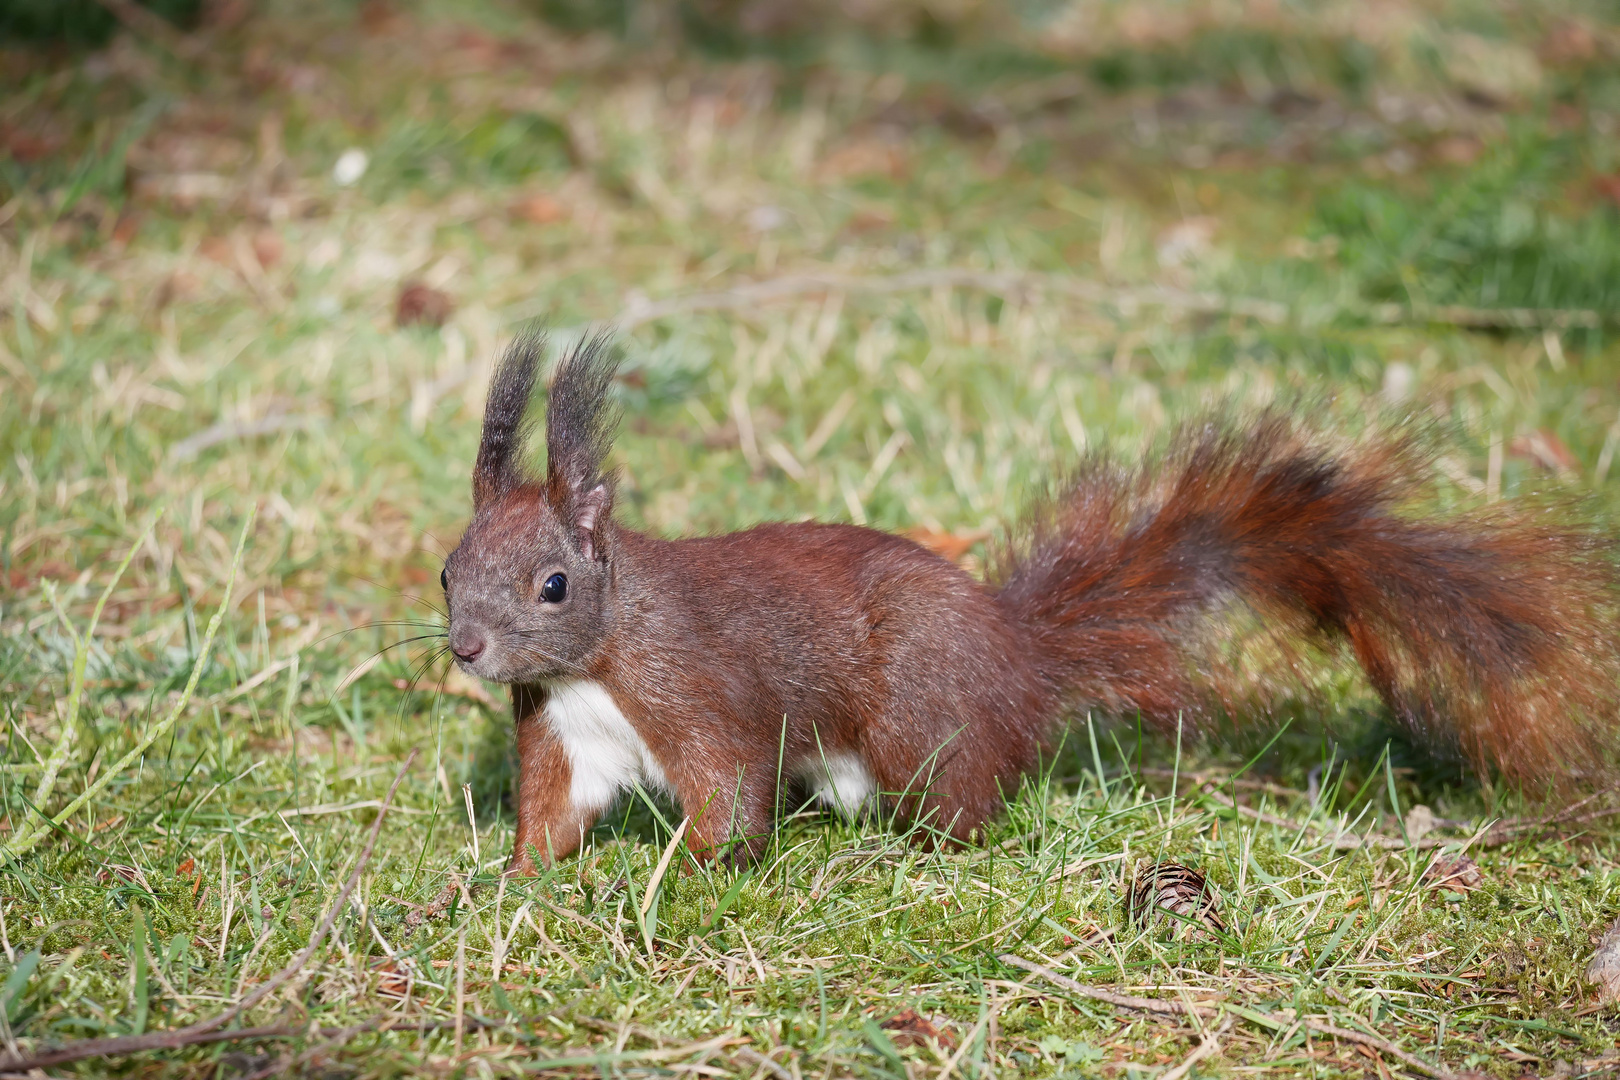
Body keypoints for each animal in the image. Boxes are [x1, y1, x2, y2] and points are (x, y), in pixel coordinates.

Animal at [440, 333, 1620, 874]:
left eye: (553, 585)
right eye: (448, 568)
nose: (466, 648)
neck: (597, 659)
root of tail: (1018, 654)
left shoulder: (697, 689)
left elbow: (728, 805)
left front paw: (664, 877)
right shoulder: (568, 730)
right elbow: (555, 812)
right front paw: (511, 880)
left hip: (918, 716)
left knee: (966, 805)